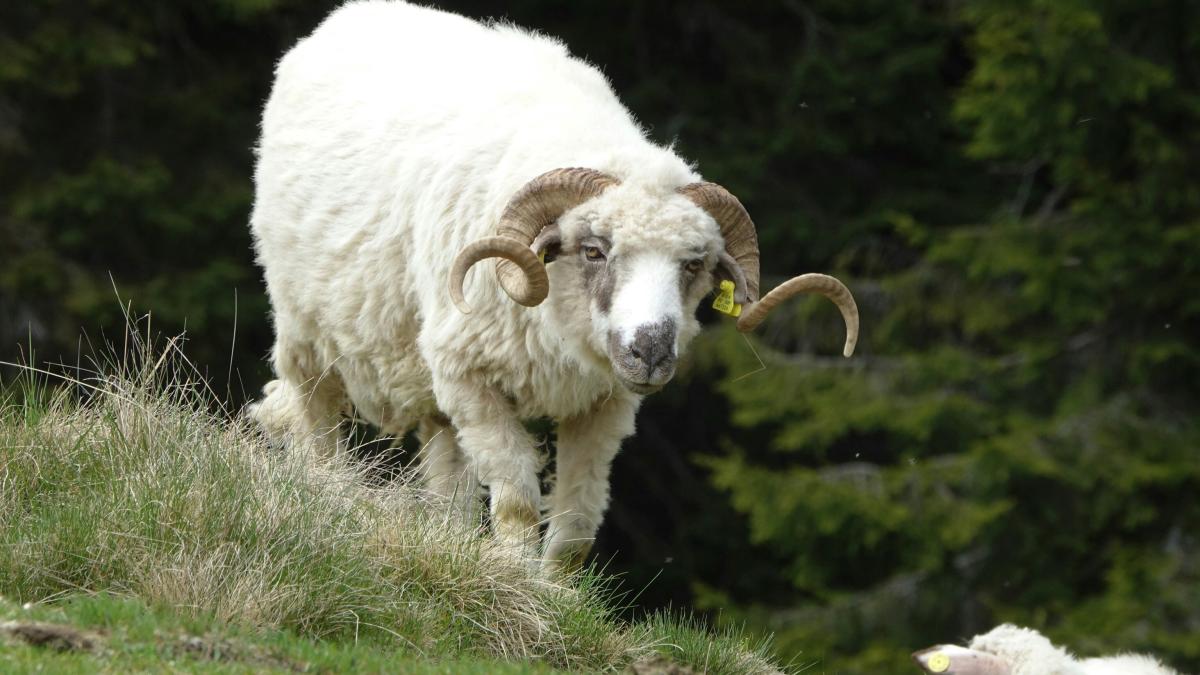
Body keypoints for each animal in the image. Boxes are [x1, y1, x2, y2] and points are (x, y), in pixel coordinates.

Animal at [246, 0, 859, 572]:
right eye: (593, 250)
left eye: (693, 265)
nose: (651, 351)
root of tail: (351, 14)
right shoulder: (470, 378)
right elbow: (517, 501)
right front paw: (514, 585)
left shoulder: (604, 404)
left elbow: (576, 528)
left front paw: (552, 593)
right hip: (307, 332)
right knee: (319, 426)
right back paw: (325, 493)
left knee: (446, 481)